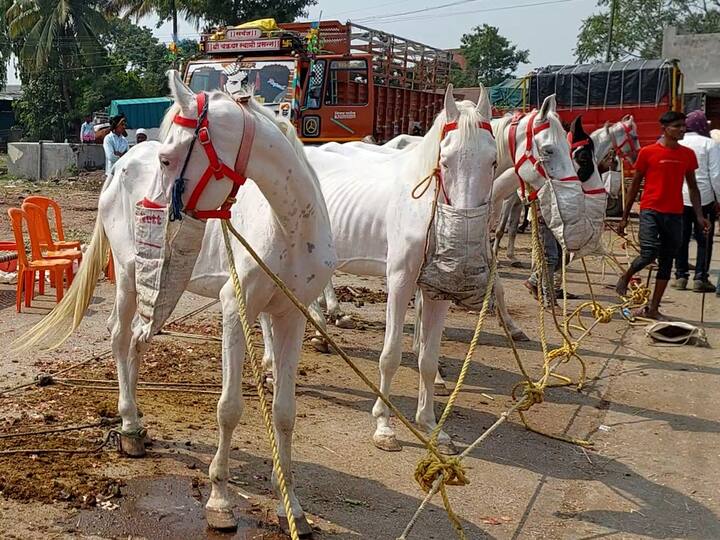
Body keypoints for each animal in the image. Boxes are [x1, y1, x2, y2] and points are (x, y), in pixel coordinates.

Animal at [15, 73, 334, 536]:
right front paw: (219, 500)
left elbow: (284, 412)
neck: (291, 226)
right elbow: (229, 408)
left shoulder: (291, 316)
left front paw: (291, 507)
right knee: (119, 336)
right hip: (129, 275)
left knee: (136, 340)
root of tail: (119, 167)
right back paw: (129, 425)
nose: (154, 209)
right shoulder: (235, 311)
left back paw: (136, 422)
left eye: (168, 161)